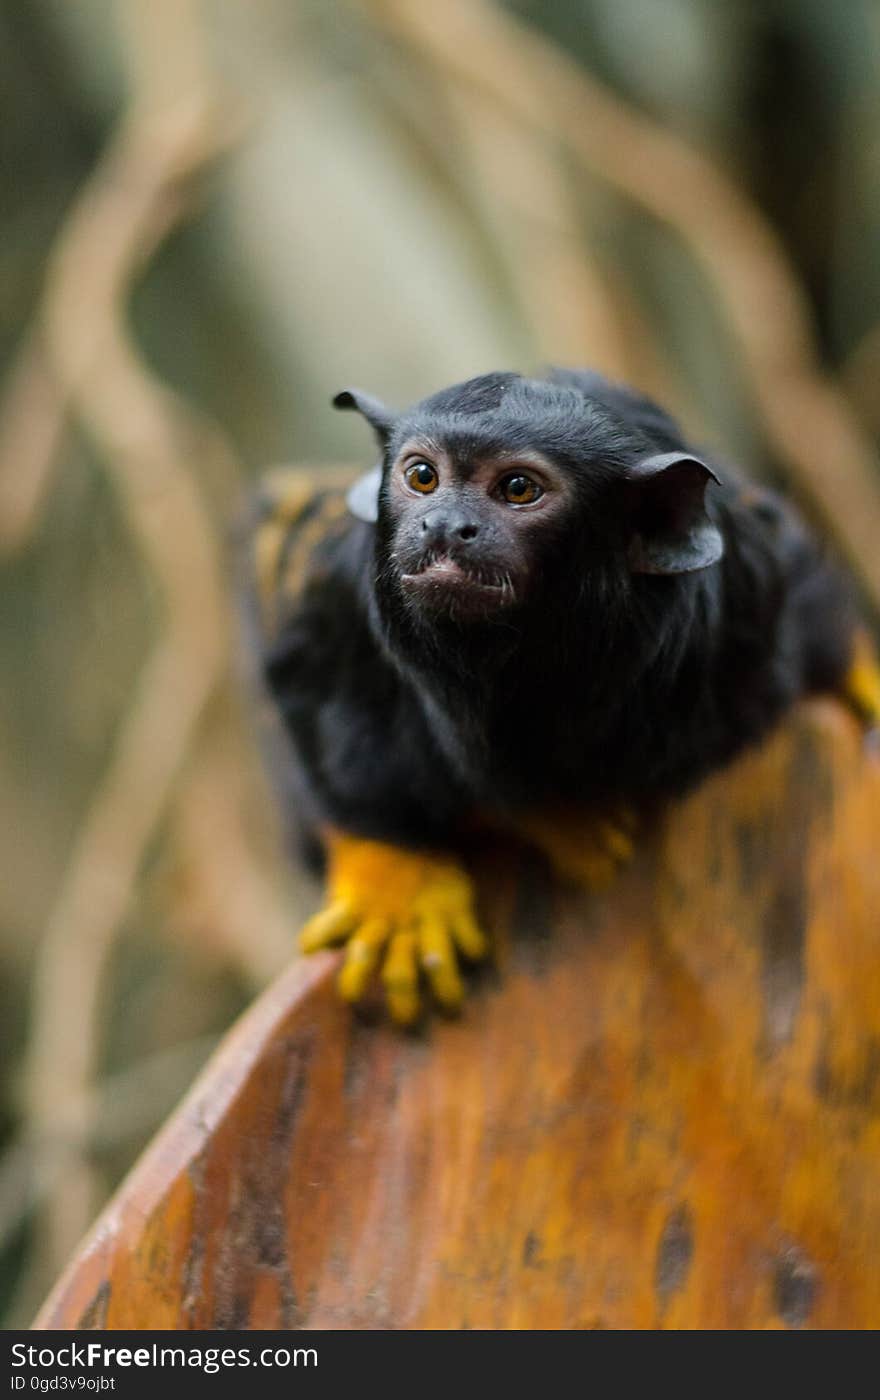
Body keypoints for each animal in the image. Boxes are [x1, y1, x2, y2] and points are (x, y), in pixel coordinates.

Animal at [244, 369, 878, 1030]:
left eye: (518, 489)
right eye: (422, 477)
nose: (443, 526)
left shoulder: (746, 602)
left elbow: (800, 587)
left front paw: (862, 681)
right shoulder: (337, 594)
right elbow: (313, 686)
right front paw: (395, 876)